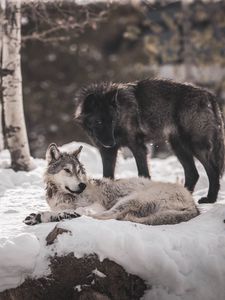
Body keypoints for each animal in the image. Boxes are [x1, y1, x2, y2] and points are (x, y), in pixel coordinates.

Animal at [24, 143, 199, 225]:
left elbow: (81, 210)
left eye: (79, 171)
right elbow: (61, 210)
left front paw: (59, 214)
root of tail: (193, 204)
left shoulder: (97, 205)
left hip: (128, 200)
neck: (63, 195)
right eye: (67, 170)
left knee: (102, 216)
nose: (82, 185)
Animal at [74, 78, 225, 204]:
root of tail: (208, 94)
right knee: (193, 173)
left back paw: (210, 199)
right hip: (177, 147)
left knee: (213, 171)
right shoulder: (107, 152)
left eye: (112, 121)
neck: (121, 113)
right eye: (99, 122)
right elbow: (107, 176)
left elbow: (143, 173)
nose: (111, 143)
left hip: (195, 146)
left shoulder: (137, 147)